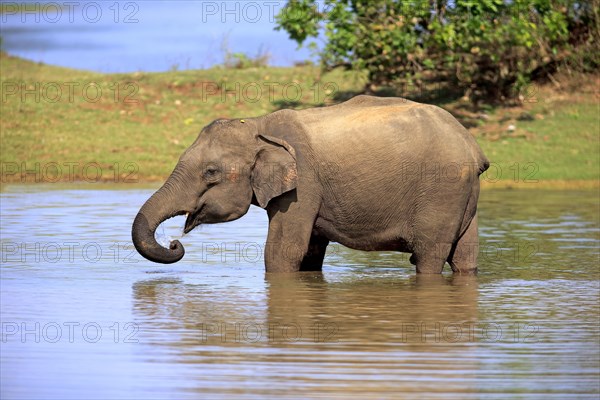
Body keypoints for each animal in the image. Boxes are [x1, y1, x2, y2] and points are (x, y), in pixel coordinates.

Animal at [131, 95, 488, 274]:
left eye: (210, 173)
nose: (175, 243)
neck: (258, 125)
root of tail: (473, 146)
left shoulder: (304, 183)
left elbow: (283, 250)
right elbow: (310, 252)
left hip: (442, 189)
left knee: (429, 256)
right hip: (463, 194)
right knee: (465, 257)